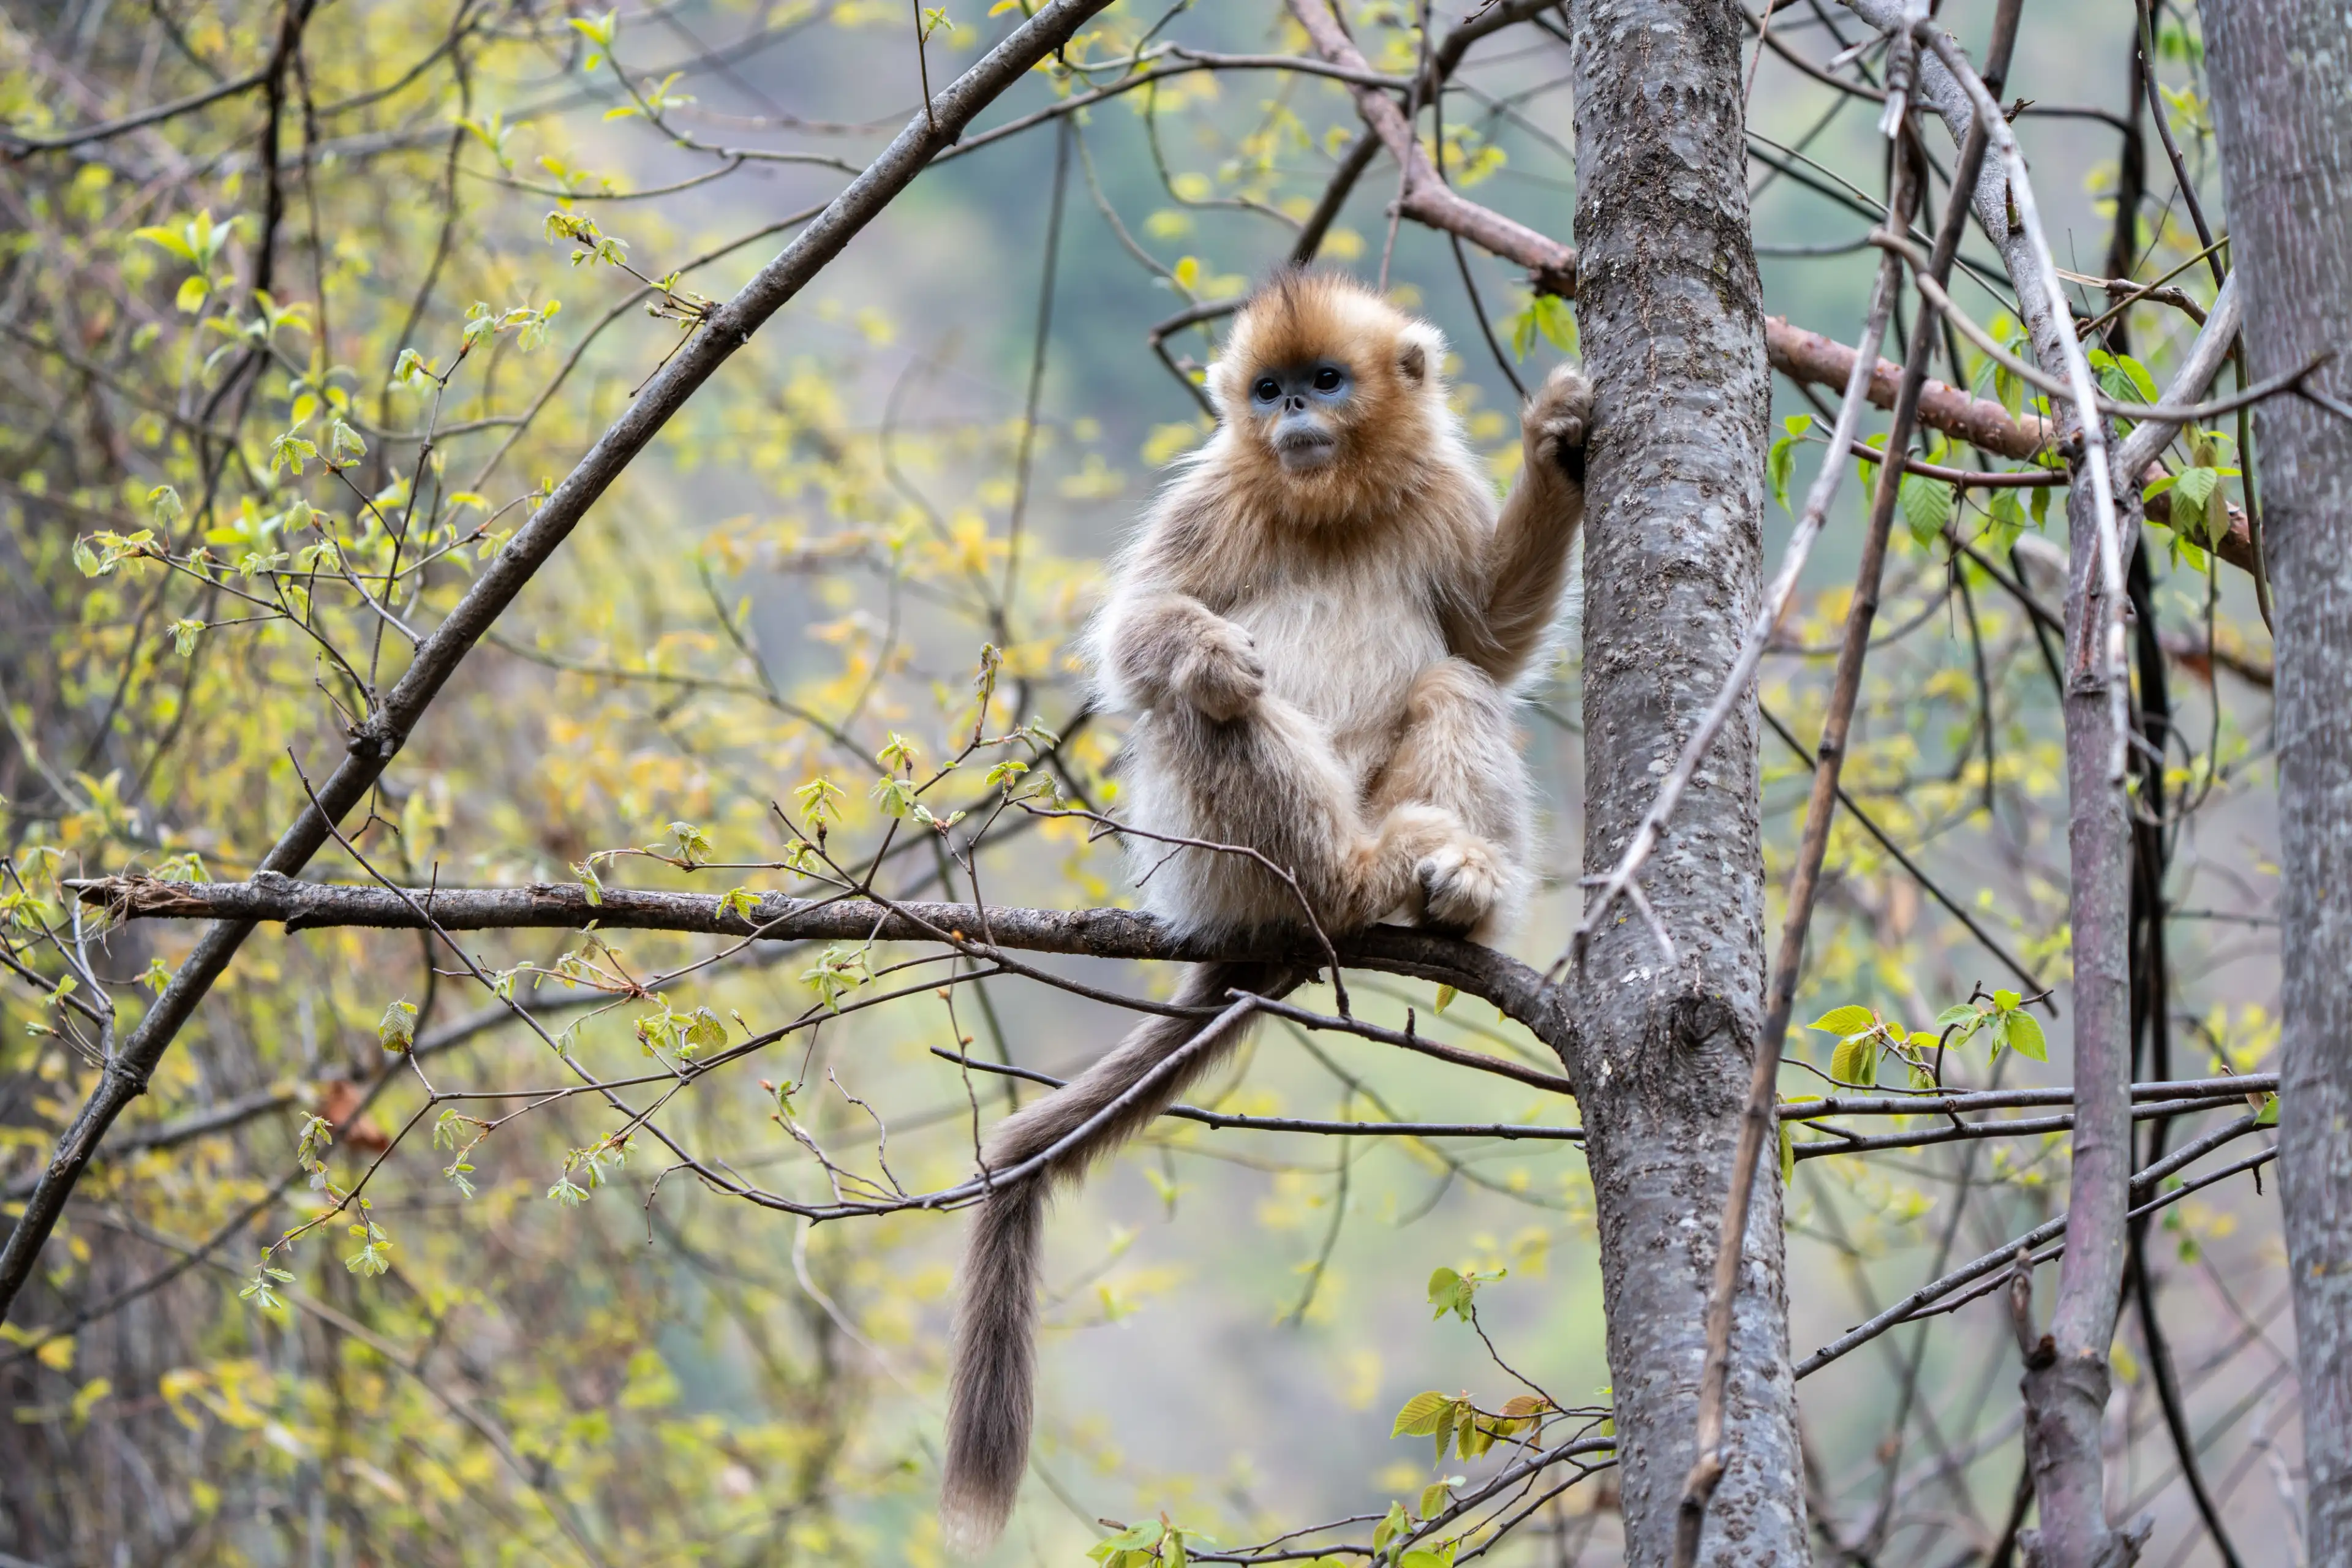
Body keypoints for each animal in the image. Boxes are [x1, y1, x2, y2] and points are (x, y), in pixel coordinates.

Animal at [940, 270, 1592, 1552]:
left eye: (1327, 382)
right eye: (1271, 389)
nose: (1293, 413)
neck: (1329, 507)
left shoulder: (1438, 495)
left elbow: (1486, 638)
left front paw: (1554, 443)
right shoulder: (1214, 493)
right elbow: (1138, 639)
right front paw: (1199, 654)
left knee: (1455, 682)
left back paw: (1454, 887)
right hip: (1208, 859)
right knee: (1213, 720)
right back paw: (1353, 874)